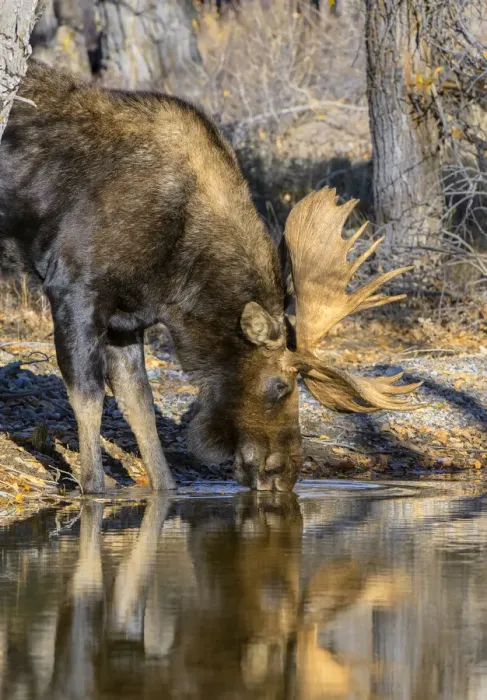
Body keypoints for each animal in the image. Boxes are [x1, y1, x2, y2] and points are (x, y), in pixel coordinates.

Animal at [0, 60, 421, 494]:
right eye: (280, 386)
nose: (285, 474)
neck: (177, 281)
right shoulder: (73, 286)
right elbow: (88, 397)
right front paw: (93, 487)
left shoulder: (126, 319)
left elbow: (140, 405)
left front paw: (166, 486)